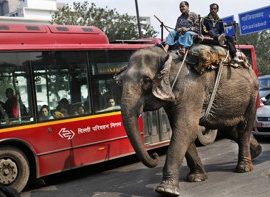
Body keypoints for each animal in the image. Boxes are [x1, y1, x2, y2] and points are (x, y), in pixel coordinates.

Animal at [115, 45, 262, 196]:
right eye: (120, 82)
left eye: (146, 81)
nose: (154, 155)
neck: (168, 57)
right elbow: (181, 128)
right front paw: (197, 178)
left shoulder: (191, 88)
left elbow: (185, 129)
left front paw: (165, 190)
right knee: (229, 129)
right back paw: (257, 152)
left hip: (253, 96)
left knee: (244, 128)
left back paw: (244, 168)